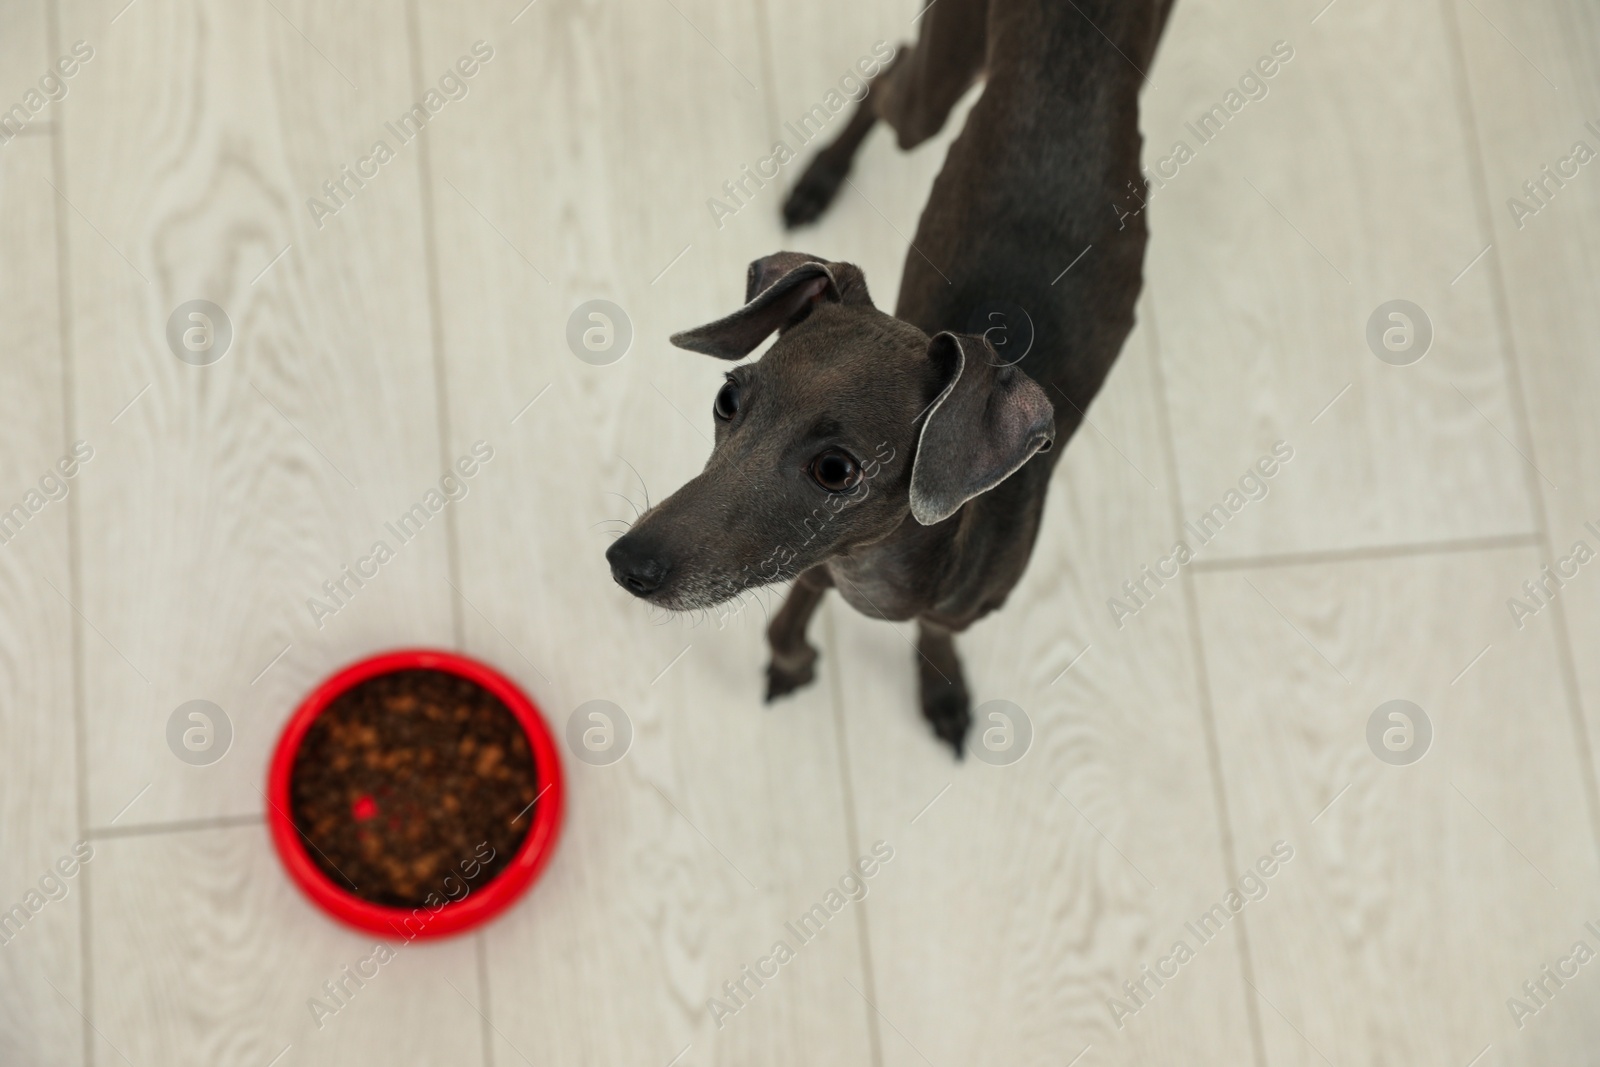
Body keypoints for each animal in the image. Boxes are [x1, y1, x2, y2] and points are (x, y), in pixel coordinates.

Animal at [604, 0, 1184, 755]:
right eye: (727, 400)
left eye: (836, 470)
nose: (626, 563)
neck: (874, 570)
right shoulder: (816, 561)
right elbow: (788, 616)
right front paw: (792, 660)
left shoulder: (932, 598)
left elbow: (930, 631)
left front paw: (940, 687)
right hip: (935, 93)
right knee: (888, 77)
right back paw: (818, 178)